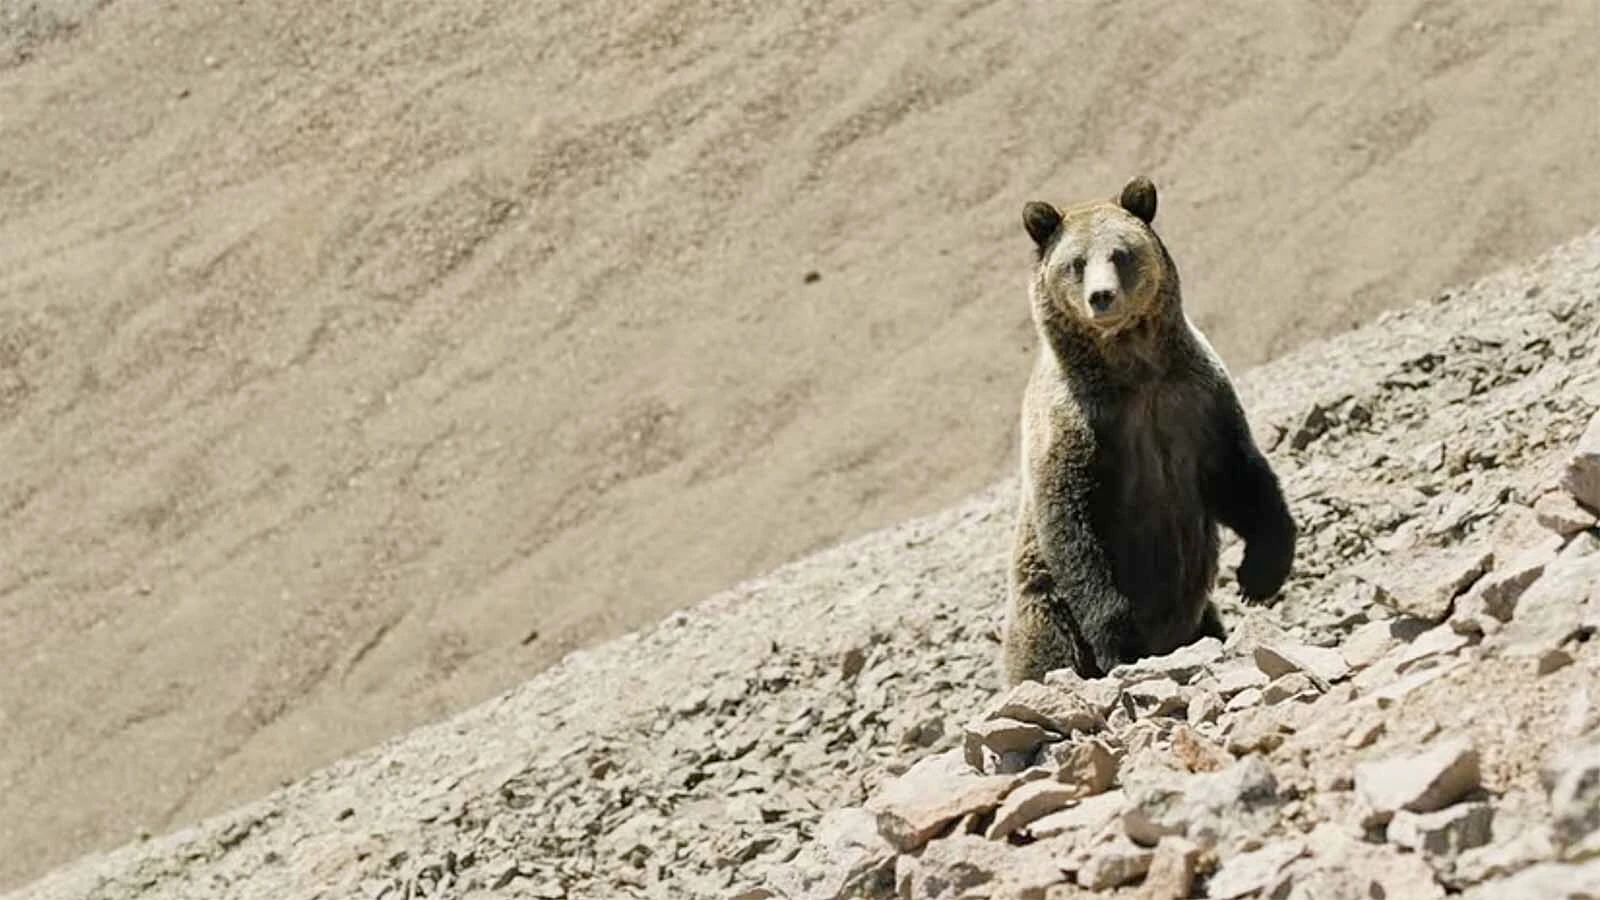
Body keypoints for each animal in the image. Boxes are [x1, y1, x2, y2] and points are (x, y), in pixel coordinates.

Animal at [1000, 175, 1298, 685]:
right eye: (1076, 263)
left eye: (1121, 253)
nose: (1102, 296)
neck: (1135, 373)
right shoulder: (1079, 426)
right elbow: (1074, 523)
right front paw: (1120, 638)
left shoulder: (1196, 401)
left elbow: (1239, 475)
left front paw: (1259, 575)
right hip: (1045, 612)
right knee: (1047, 651)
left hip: (1201, 617)